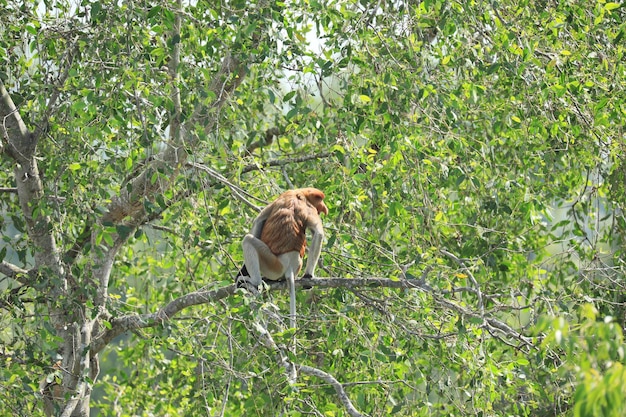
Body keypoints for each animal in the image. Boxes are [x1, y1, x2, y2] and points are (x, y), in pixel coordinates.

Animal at [238, 188, 330, 328]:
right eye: (320, 199)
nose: (324, 207)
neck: (301, 193)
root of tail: (290, 266)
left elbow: (259, 221)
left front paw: (308, 276)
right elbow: (317, 232)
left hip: (273, 264)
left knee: (248, 240)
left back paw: (255, 282)